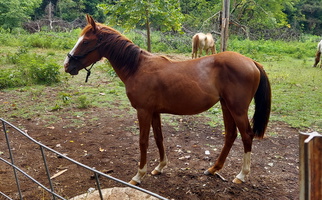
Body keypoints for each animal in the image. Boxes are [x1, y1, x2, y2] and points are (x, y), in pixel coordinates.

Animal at [64, 15, 270, 186]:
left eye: (86, 41)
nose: (67, 65)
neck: (137, 67)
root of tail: (252, 62)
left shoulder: (143, 111)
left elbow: (143, 141)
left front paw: (139, 175)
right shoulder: (154, 112)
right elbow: (159, 138)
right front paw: (160, 167)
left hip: (237, 109)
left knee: (246, 136)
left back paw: (241, 175)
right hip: (226, 106)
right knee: (230, 135)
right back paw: (213, 169)